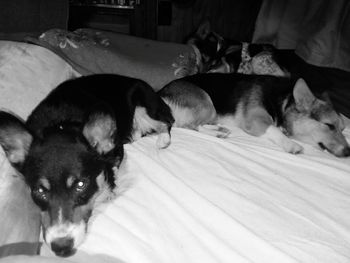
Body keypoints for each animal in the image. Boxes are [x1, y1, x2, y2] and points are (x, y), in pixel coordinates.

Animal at [0, 73, 174, 258]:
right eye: (39, 191)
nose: (61, 248)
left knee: (165, 122)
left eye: (81, 185)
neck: (60, 125)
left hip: (145, 108)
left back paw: (163, 140)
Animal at [159, 73, 350, 158]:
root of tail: (160, 95)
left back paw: (218, 130)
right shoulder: (255, 121)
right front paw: (291, 145)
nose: (348, 153)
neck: (283, 102)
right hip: (207, 103)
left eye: (342, 128)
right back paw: (216, 132)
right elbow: (274, 130)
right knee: (189, 125)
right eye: (329, 126)